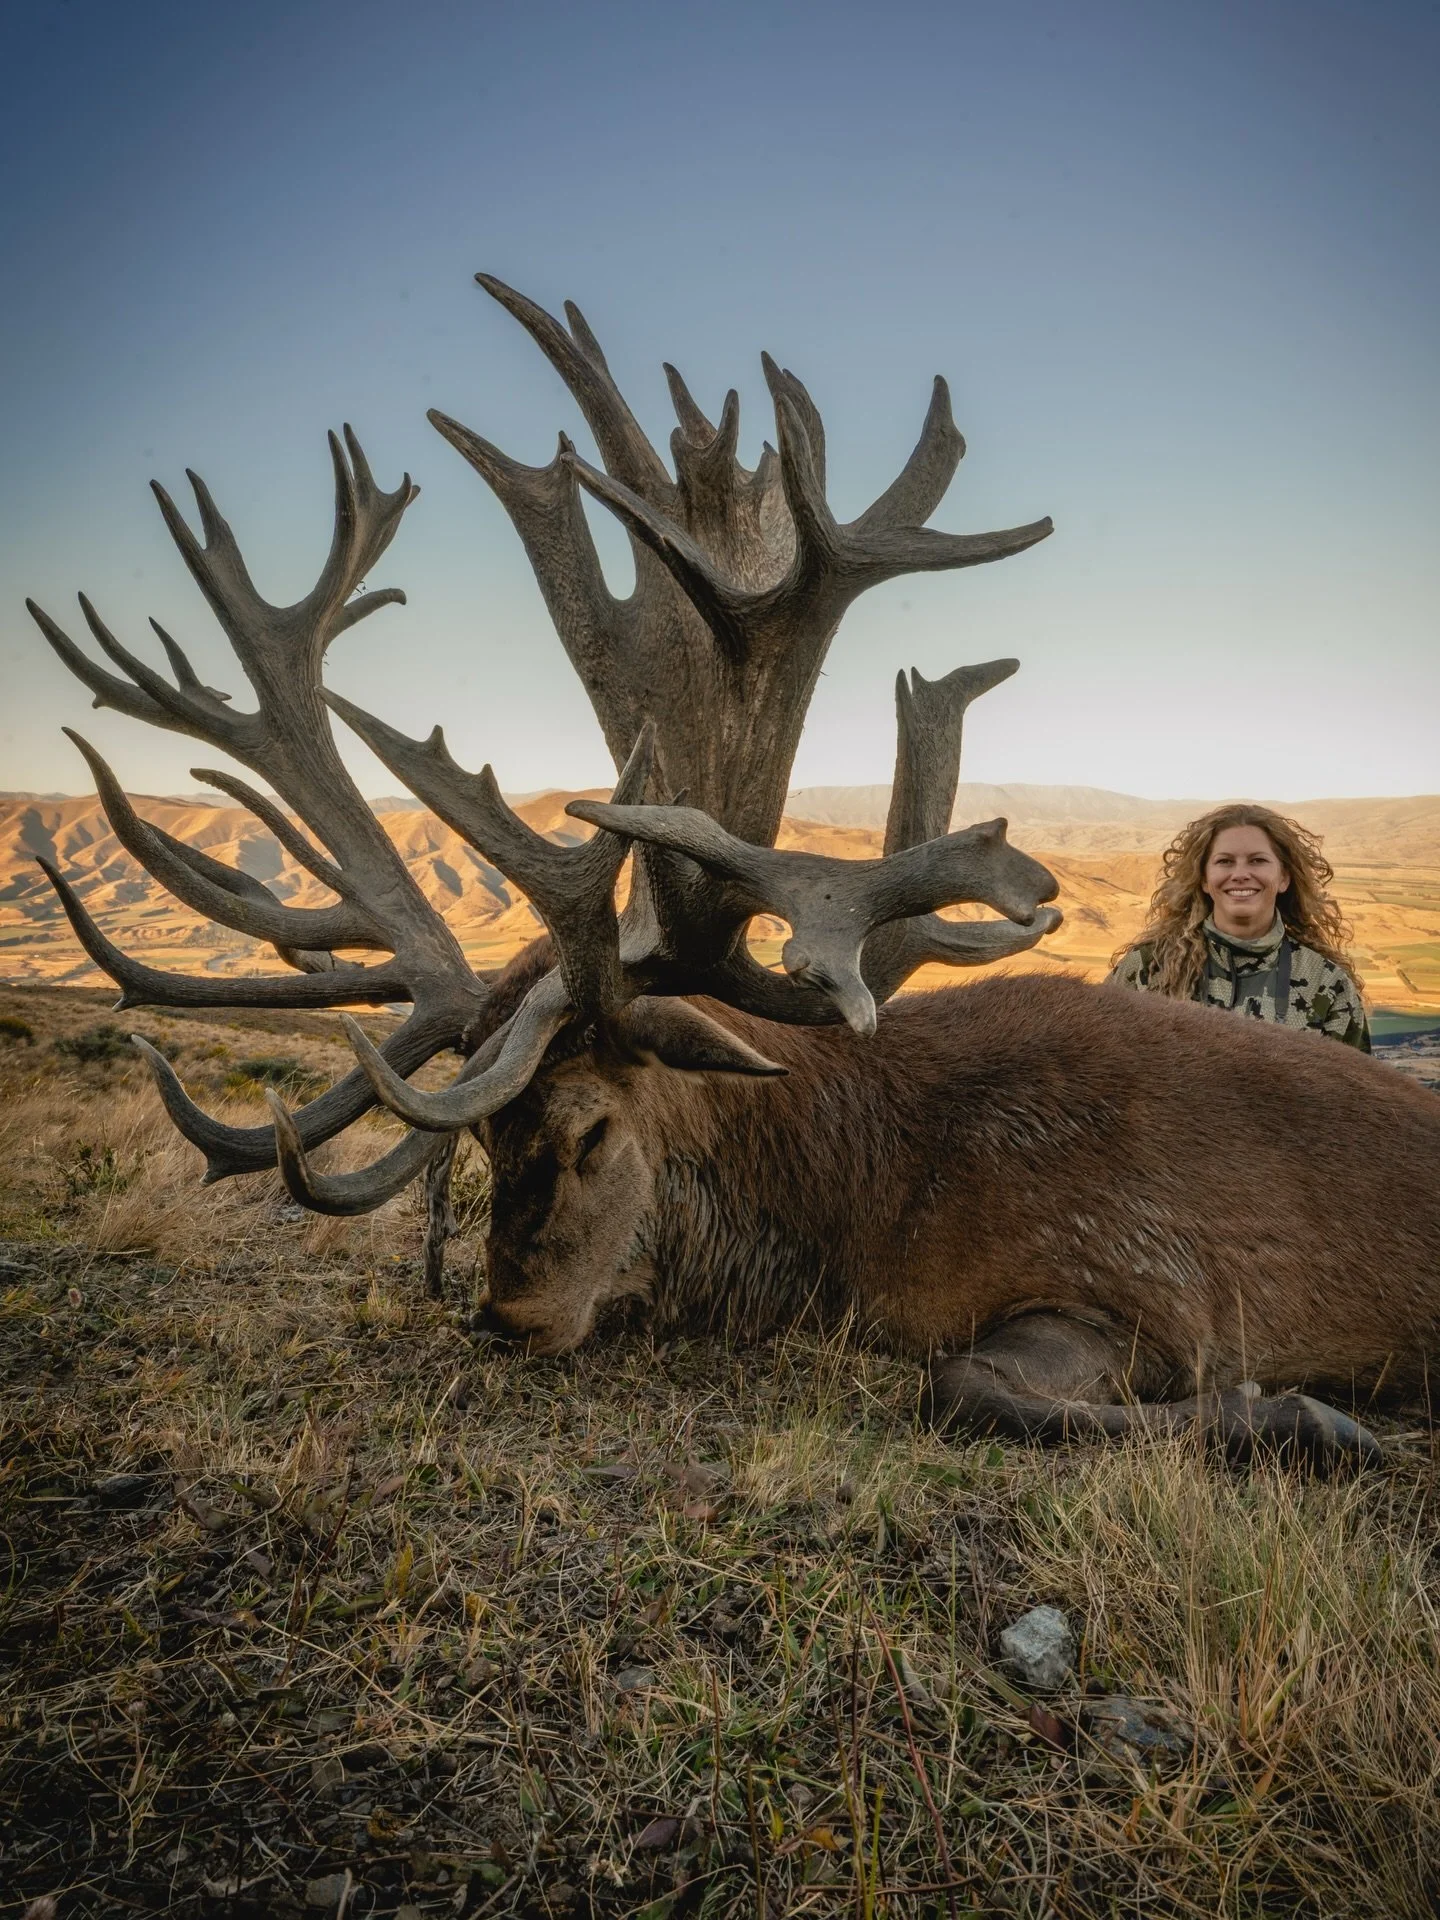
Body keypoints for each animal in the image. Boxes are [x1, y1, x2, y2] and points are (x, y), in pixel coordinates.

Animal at [29, 274, 1440, 1472]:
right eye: (480, 1135)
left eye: (592, 1129)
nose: (507, 1318)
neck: (857, 1192)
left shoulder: (1143, 1284)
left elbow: (965, 1387)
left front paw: (1313, 1416)